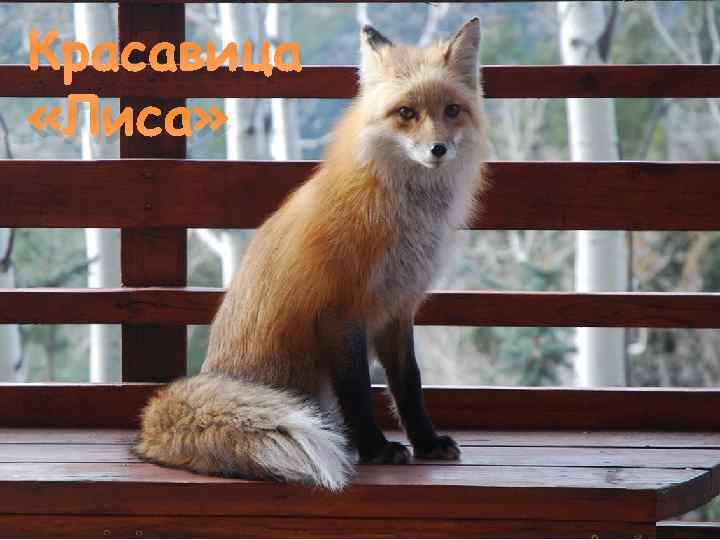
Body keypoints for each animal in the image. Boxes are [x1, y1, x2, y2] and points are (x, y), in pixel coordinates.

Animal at [135, 18, 489, 492]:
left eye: (451, 110)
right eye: (406, 113)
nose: (439, 149)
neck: (402, 220)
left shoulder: (398, 307)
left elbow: (409, 383)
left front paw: (426, 443)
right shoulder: (340, 311)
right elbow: (357, 390)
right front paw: (376, 449)